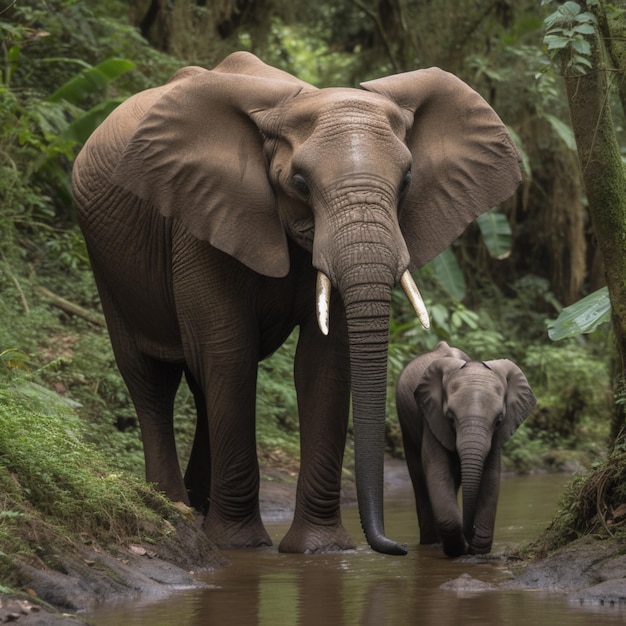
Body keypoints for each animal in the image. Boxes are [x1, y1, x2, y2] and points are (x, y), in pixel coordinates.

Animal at [72, 51, 520, 552]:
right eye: (301, 183)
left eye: (407, 180)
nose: (396, 547)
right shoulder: (200, 217)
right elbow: (230, 354)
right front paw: (241, 545)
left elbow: (324, 361)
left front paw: (319, 549)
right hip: (105, 257)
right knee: (151, 377)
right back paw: (176, 508)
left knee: (198, 382)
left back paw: (199, 509)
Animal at [394, 342, 536, 556]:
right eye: (450, 418)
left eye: (498, 421)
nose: (471, 531)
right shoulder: (432, 417)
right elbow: (436, 469)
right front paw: (458, 547)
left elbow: (491, 476)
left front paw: (476, 549)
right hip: (406, 424)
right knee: (419, 477)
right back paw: (431, 543)